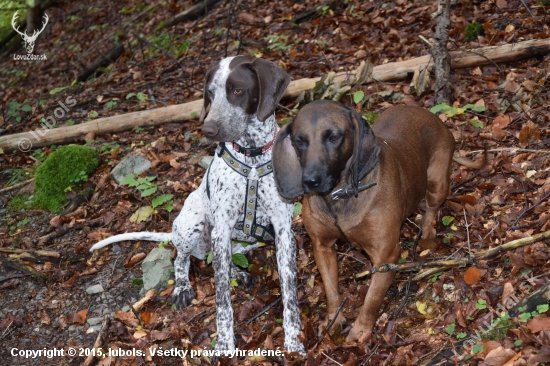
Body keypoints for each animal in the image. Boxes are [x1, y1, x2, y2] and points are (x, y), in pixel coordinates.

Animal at [90, 55, 306, 356]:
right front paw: (225, 344)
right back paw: (182, 287)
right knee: (182, 259)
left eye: (237, 90)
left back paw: (238, 272)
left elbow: (289, 295)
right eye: (210, 94)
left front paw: (293, 340)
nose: (208, 129)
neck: (251, 160)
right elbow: (222, 301)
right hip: (192, 224)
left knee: (220, 259)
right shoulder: (222, 228)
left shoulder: (284, 231)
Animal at [274, 99, 486, 344]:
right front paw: (334, 319)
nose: (310, 181)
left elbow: (372, 299)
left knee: (431, 210)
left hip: (437, 182)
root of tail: (433, 117)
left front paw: (361, 330)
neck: (340, 196)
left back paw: (426, 236)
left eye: (334, 136)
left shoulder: (386, 256)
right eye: (299, 140)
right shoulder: (322, 247)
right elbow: (330, 288)